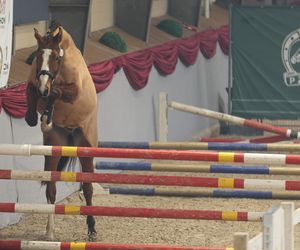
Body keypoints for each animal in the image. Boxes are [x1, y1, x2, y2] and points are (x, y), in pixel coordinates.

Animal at [24, 25, 97, 240]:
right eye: (38, 56)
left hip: (86, 147)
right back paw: (49, 232)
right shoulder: (34, 82)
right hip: (54, 147)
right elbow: (31, 91)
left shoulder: (74, 91)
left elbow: (56, 93)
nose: (43, 88)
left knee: (88, 188)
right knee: (51, 189)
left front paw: (47, 117)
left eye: (56, 58)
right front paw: (36, 118)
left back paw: (91, 229)